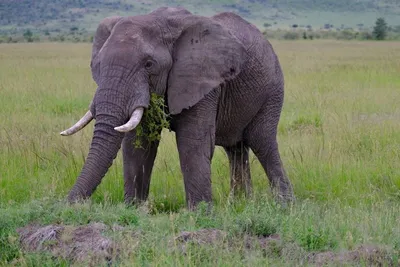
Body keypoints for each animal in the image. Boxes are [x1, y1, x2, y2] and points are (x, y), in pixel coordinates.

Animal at [61, 6, 296, 210]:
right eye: (98, 64)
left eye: (149, 64)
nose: (68, 205)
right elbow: (138, 143)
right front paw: (133, 208)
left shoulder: (202, 78)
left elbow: (192, 142)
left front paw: (199, 213)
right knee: (236, 149)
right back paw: (240, 204)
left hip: (272, 90)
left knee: (262, 142)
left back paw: (284, 206)